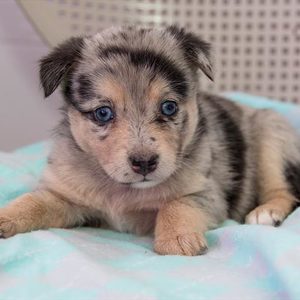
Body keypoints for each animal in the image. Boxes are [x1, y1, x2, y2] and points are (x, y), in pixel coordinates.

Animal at [0, 26, 300, 255]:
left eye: (169, 107)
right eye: (103, 113)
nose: (144, 163)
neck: (125, 191)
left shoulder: (205, 193)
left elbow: (175, 204)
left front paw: (177, 240)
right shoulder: (64, 195)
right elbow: (32, 202)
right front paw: (4, 218)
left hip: (271, 137)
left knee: (284, 190)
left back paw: (266, 212)